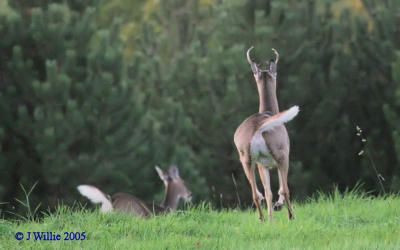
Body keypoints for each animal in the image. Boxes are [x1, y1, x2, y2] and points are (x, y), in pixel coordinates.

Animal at [234, 47, 300, 221]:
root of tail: (258, 127)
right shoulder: (281, 156)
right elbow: (279, 188)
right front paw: (278, 206)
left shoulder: (262, 164)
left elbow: (267, 191)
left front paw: (271, 217)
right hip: (281, 153)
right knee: (285, 189)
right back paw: (291, 215)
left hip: (246, 159)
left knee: (256, 194)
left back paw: (263, 219)